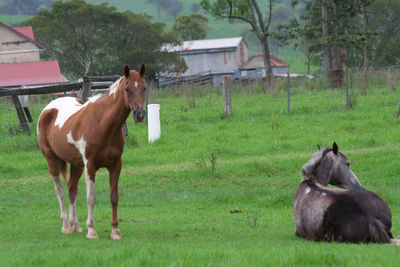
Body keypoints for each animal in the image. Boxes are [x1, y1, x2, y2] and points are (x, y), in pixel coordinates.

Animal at [37, 65, 146, 241]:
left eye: (144, 88)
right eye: (127, 89)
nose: (139, 114)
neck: (103, 124)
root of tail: (48, 109)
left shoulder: (116, 165)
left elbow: (114, 197)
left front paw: (115, 231)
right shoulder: (90, 165)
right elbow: (91, 198)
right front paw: (92, 230)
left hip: (76, 164)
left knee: (72, 189)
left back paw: (75, 226)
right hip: (52, 160)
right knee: (59, 190)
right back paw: (66, 226)